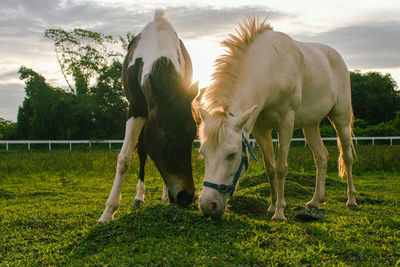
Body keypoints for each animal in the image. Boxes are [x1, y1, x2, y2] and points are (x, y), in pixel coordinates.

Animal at [99, 9, 198, 224]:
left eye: (192, 137)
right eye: (166, 135)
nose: (186, 196)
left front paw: (167, 198)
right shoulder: (136, 109)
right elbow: (125, 158)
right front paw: (108, 211)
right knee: (143, 152)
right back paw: (139, 198)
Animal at [198, 17, 358, 222]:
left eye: (232, 155)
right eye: (203, 153)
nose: (208, 206)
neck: (271, 68)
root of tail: (338, 57)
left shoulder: (286, 124)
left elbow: (281, 168)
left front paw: (280, 212)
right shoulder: (260, 130)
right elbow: (270, 168)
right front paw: (272, 206)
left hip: (341, 119)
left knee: (347, 157)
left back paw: (351, 200)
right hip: (310, 125)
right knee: (321, 157)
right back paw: (316, 201)